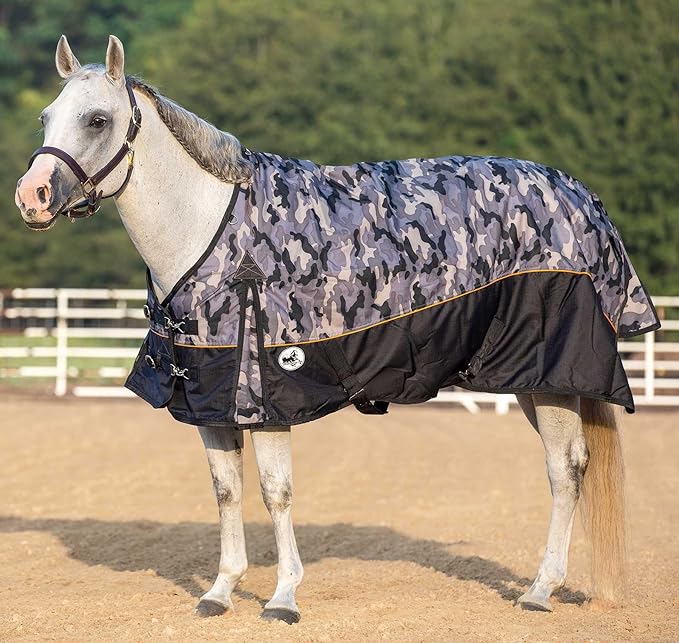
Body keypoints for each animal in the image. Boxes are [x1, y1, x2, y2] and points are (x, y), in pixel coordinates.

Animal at [15, 35, 657, 623]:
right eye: (46, 116)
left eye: (98, 119)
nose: (32, 196)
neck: (212, 233)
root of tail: (581, 197)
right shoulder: (208, 397)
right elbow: (227, 491)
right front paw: (220, 591)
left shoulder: (265, 396)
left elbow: (275, 493)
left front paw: (282, 598)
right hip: (532, 380)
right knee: (570, 466)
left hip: (550, 377)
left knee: (564, 469)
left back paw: (540, 590)